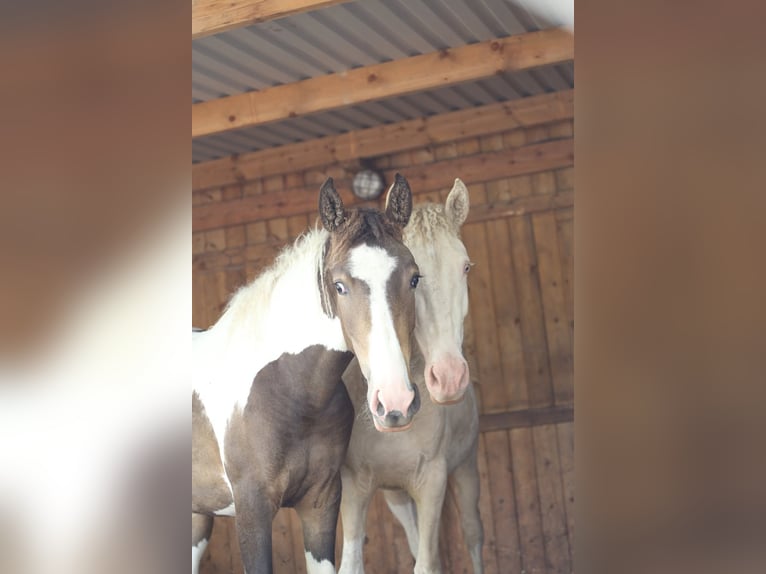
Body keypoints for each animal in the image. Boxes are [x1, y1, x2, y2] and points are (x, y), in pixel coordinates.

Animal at [192, 174, 423, 574]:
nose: (395, 402)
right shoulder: (252, 511)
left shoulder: (321, 503)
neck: (289, 391)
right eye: (340, 285)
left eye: (414, 279)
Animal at [338, 179, 483, 574]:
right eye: (415, 277)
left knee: (472, 534)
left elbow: (428, 563)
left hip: (465, 470)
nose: (449, 377)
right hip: (395, 495)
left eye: (466, 267)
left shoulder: (432, 481)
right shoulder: (356, 486)